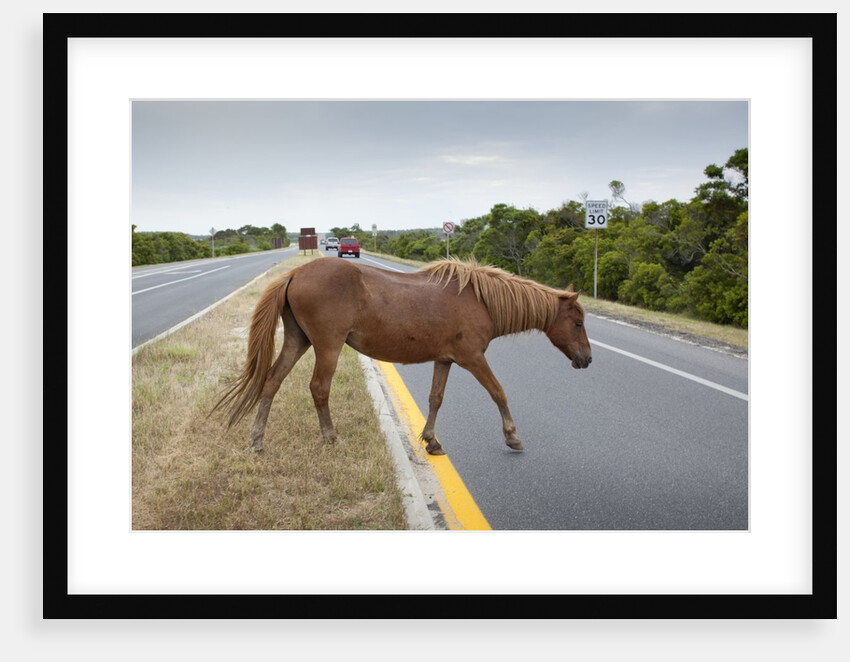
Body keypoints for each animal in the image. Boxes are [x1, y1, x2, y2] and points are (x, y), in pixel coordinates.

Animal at [213, 257, 592, 455]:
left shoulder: (445, 360)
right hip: (327, 347)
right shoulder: (472, 359)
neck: (480, 300)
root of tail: (295, 272)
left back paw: (257, 440)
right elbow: (498, 392)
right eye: (577, 322)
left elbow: (436, 398)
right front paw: (512, 436)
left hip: (298, 341)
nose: (587, 359)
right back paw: (330, 437)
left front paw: (431, 440)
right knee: (319, 388)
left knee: (271, 382)